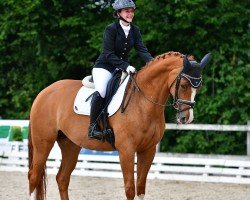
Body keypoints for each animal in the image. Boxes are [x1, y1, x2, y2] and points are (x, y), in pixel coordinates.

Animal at [27, 50, 211, 199]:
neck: (143, 103)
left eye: (199, 87)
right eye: (185, 85)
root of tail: (43, 92)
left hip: (70, 144)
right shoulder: (126, 150)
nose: (186, 118)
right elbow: (130, 189)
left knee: (62, 178)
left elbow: (140, 189)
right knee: (33, 176)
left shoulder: (148, 150)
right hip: (43, 143)